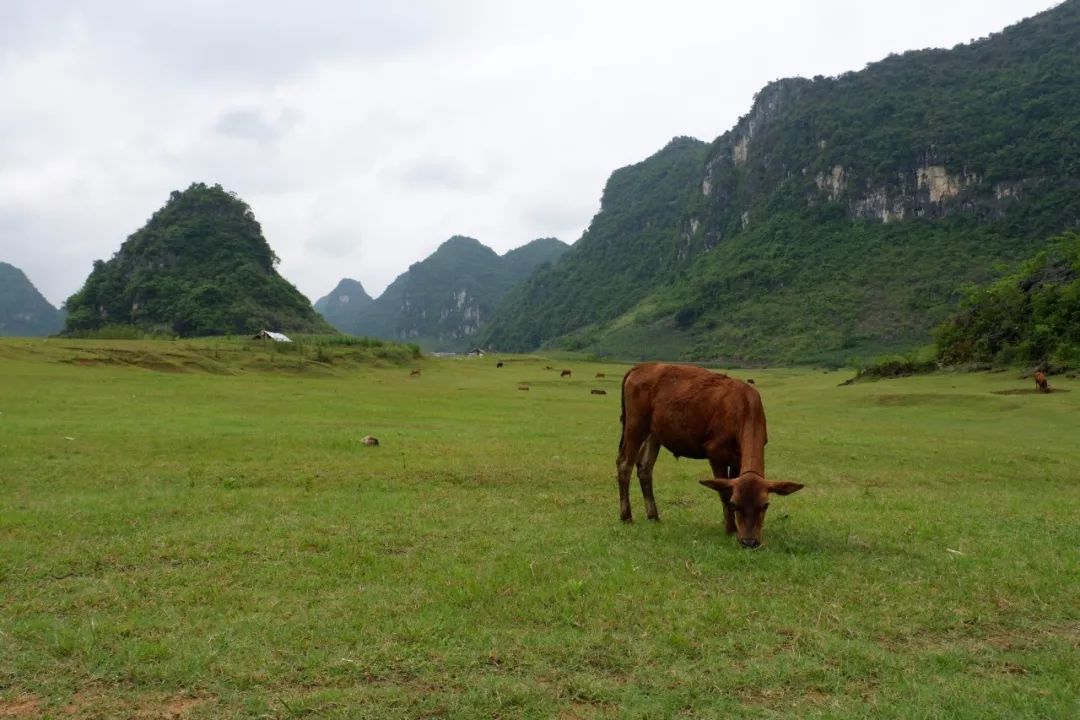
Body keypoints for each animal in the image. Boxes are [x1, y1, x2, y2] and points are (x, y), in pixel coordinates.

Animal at [617, 362, 803, 548]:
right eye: (735, 505)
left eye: (765, 505)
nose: (749, 542)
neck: (743, 408)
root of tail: (640, 367)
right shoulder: (716, 453)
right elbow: (723, 491)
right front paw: (730, 528)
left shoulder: (736, 459)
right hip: (635, 424)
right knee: (625, 463)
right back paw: (626, 516)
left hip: (654, 433)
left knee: (644, 467)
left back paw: (653, 515)